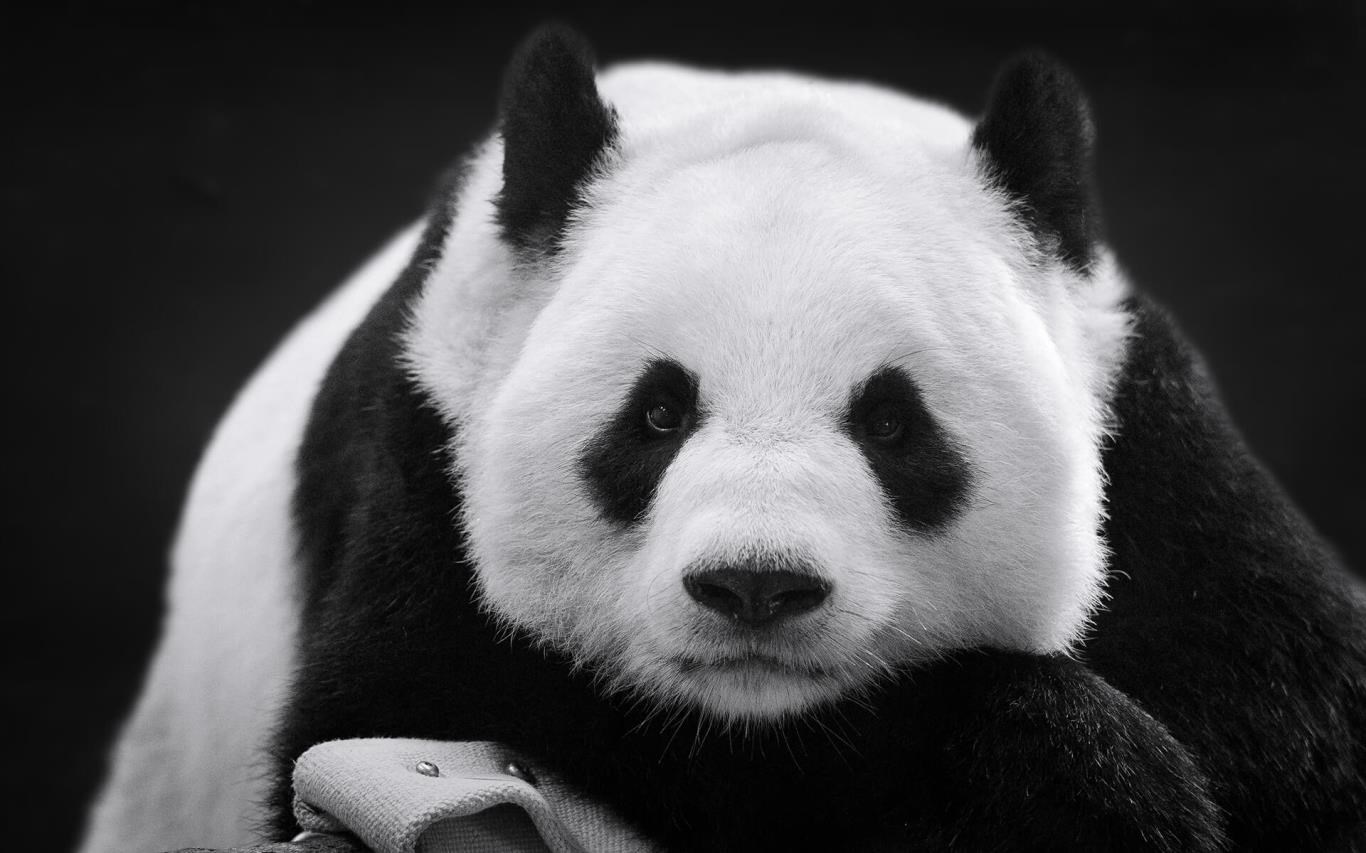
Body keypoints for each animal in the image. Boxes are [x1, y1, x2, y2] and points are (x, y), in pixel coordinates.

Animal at [81, 24, 1365, 853]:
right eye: (656, 414)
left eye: (891, 421)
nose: (756, 586)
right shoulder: (428, 449)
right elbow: (414, 706)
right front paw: (1070, 776)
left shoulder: (1162, 469)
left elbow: (1304, 742)